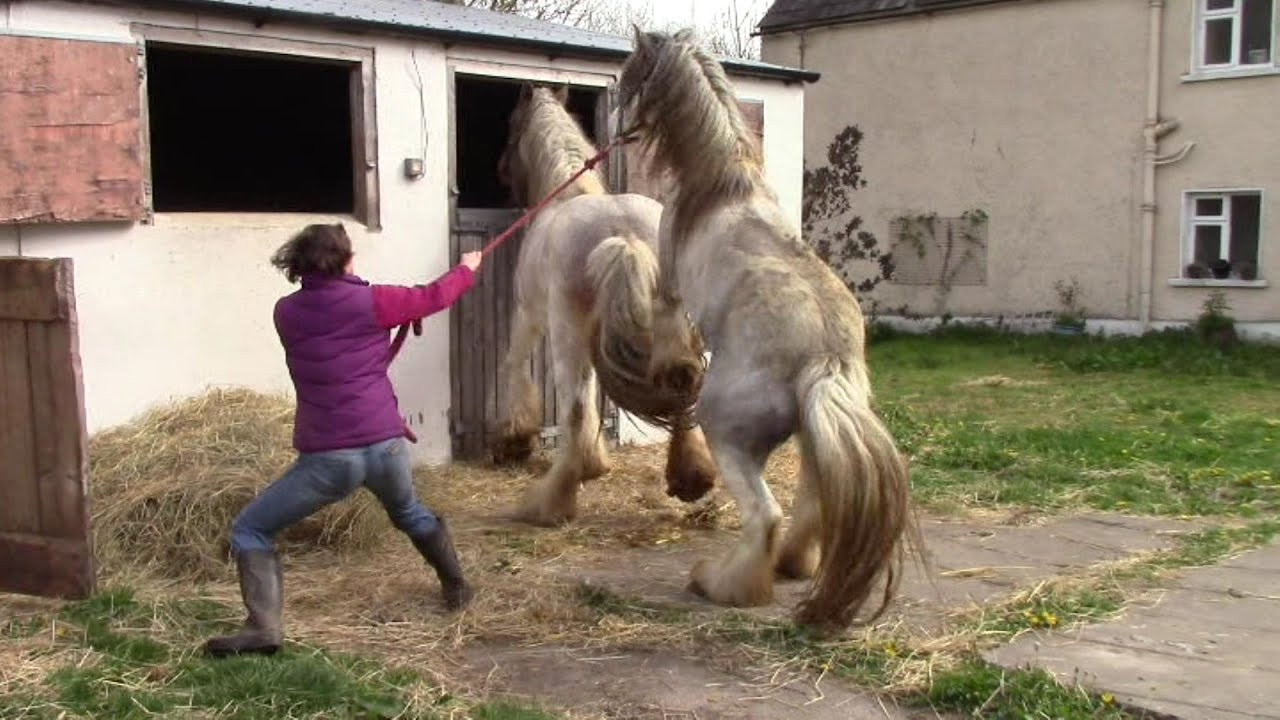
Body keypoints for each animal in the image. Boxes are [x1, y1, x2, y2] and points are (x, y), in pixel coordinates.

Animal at [491, 83, 721, 525]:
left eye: (510, 128)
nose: (501, 175)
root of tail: (623, 234)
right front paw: (594, 461)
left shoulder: (529, 314)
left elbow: (514, 364)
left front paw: (515, 438)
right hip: (677, 330)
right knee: (686, 387)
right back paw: (692, 479)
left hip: (565, 332)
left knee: (575, 407)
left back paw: (551, 503)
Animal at [616, 28, 921, 625]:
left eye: (630, 76)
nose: (620, 129)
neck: (722, 183)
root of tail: (825, 359)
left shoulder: (670, 282)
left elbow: (670, 331)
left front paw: (670, 367)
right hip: (811, 434)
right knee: (813, 503)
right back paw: (792, 565)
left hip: (729, 434)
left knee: (766, 516)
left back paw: (718, 583)